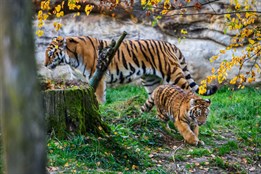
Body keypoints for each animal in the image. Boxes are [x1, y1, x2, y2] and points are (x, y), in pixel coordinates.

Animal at [43, 35, 216, 102]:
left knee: (189, 92)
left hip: (173, 74)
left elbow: (99, 96)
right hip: (151, 80)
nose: (44, 64)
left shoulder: (97, 75)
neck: (70, 58)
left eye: (50, 54)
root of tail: (171, 45)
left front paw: (100, 107)